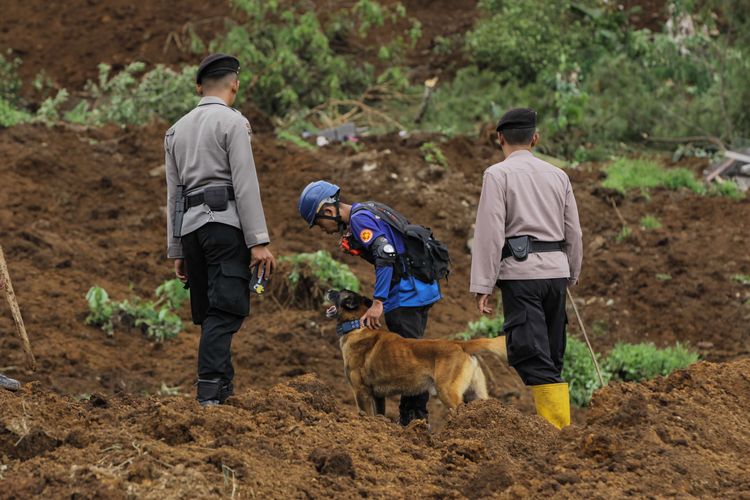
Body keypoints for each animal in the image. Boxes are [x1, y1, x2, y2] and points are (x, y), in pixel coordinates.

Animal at [326, 288, 508, 416]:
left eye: (339, 292)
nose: (328, 290)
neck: (357, 325)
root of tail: (460, 344)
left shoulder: (361, 392)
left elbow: (367, 416)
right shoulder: (378, 396)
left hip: (448, 392)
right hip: (476, 393)